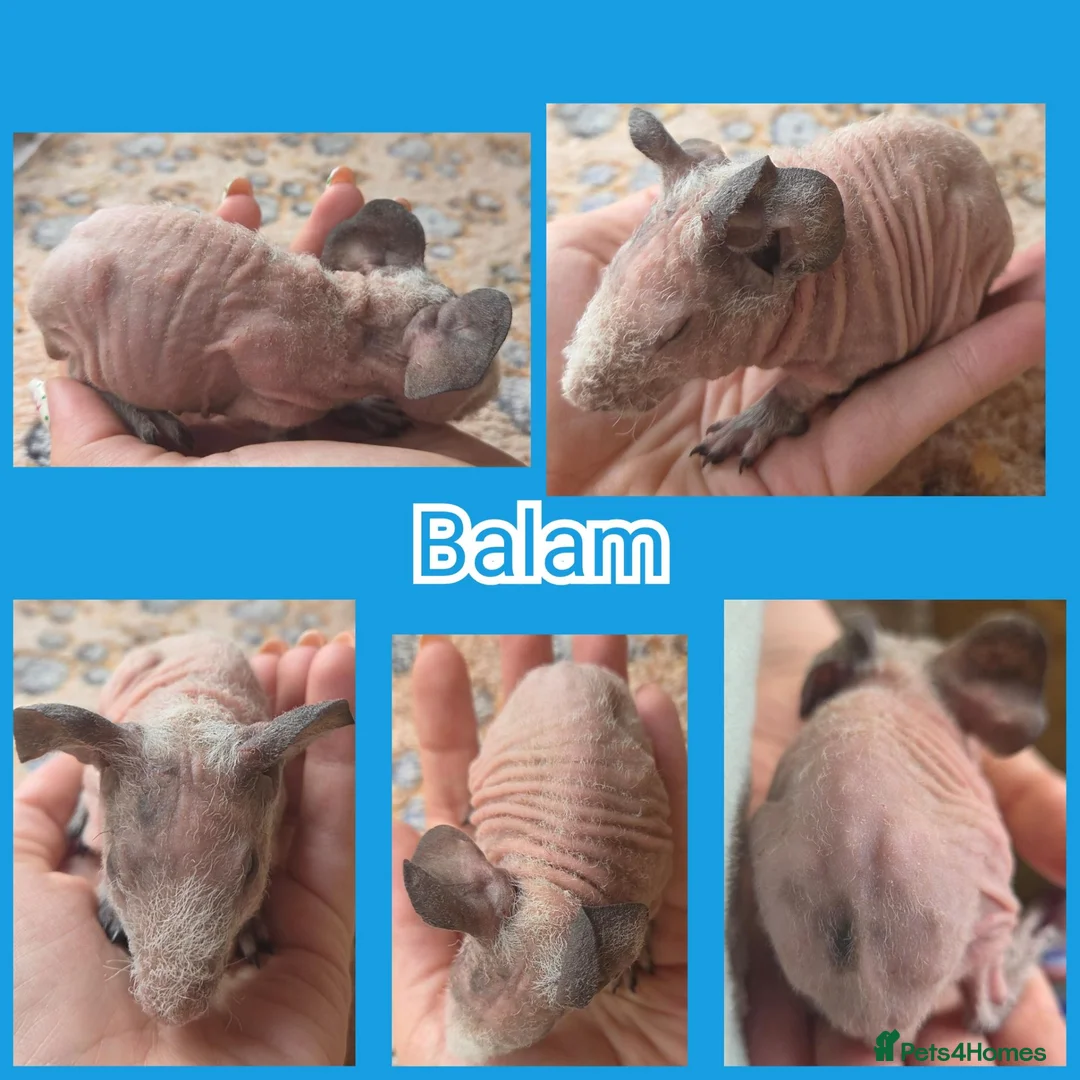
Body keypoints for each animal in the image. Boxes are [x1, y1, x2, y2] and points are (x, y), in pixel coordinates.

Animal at [28, 199, 512, 453]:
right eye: (484, 376)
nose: (496, 391)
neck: (354, 314)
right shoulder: (275, 396)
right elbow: (293, 427)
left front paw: (368, 409)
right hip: (85, 337)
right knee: (82, 375)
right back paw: (147, 415)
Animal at [402, 661, 673, 1061]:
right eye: (465, 983)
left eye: (533, 1039)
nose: (458, 1053)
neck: (552, 880)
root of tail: (573, 665)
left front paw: (633, 963)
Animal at [562, 109, 1014, 470]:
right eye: (607, 275)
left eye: (675, 332)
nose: (576, 395)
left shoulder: (858, 344)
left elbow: (804, 387)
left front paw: (748, 426)